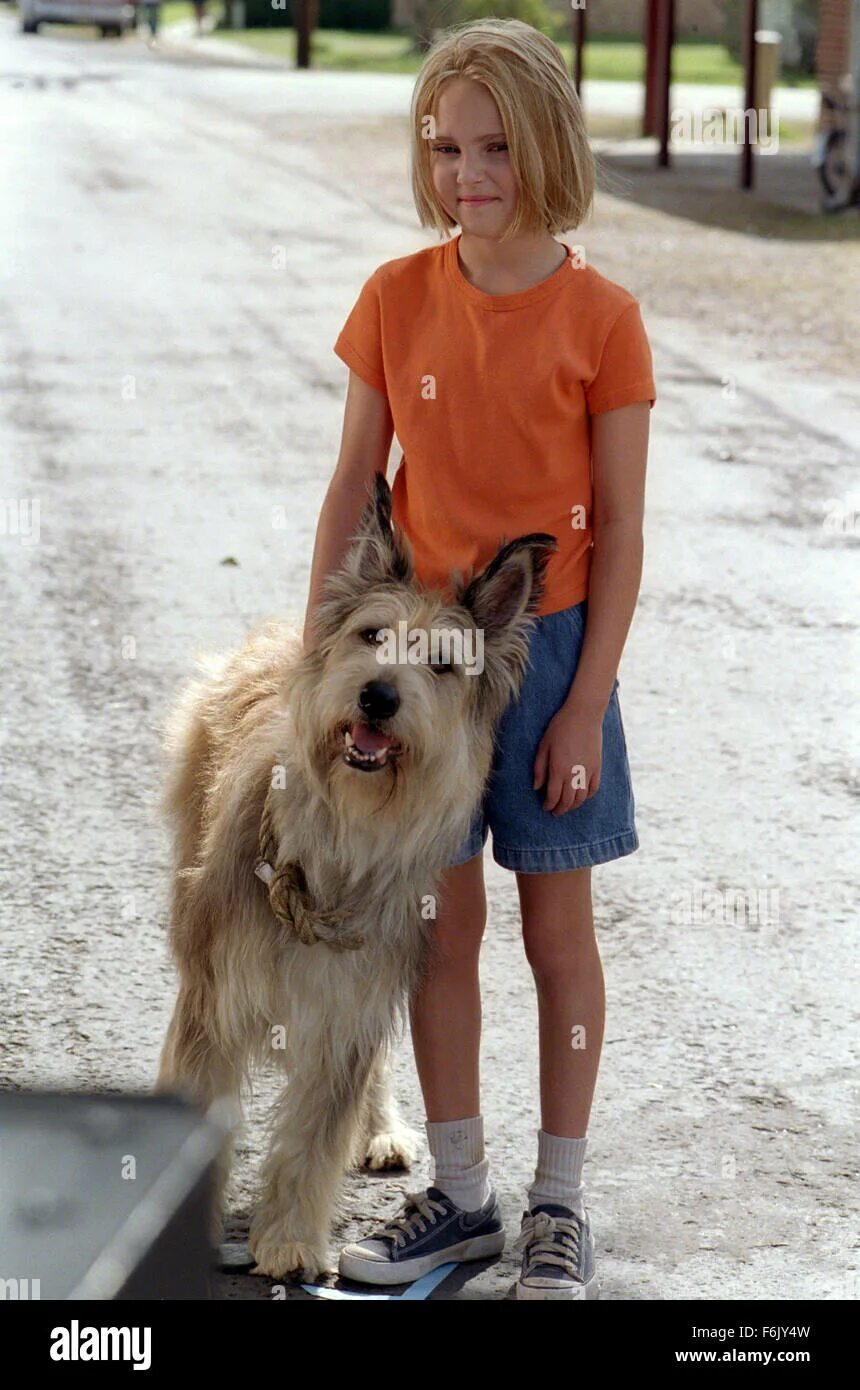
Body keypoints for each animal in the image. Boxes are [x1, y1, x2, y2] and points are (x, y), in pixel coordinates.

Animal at [156, 475, 555, 1278]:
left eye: (442, 662)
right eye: (373, 636)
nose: (378, 694)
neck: (336, 840)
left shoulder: (349, 1008)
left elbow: (316, 1136)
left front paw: (289, 1240)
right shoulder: (212, 1004)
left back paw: (381, 1130)